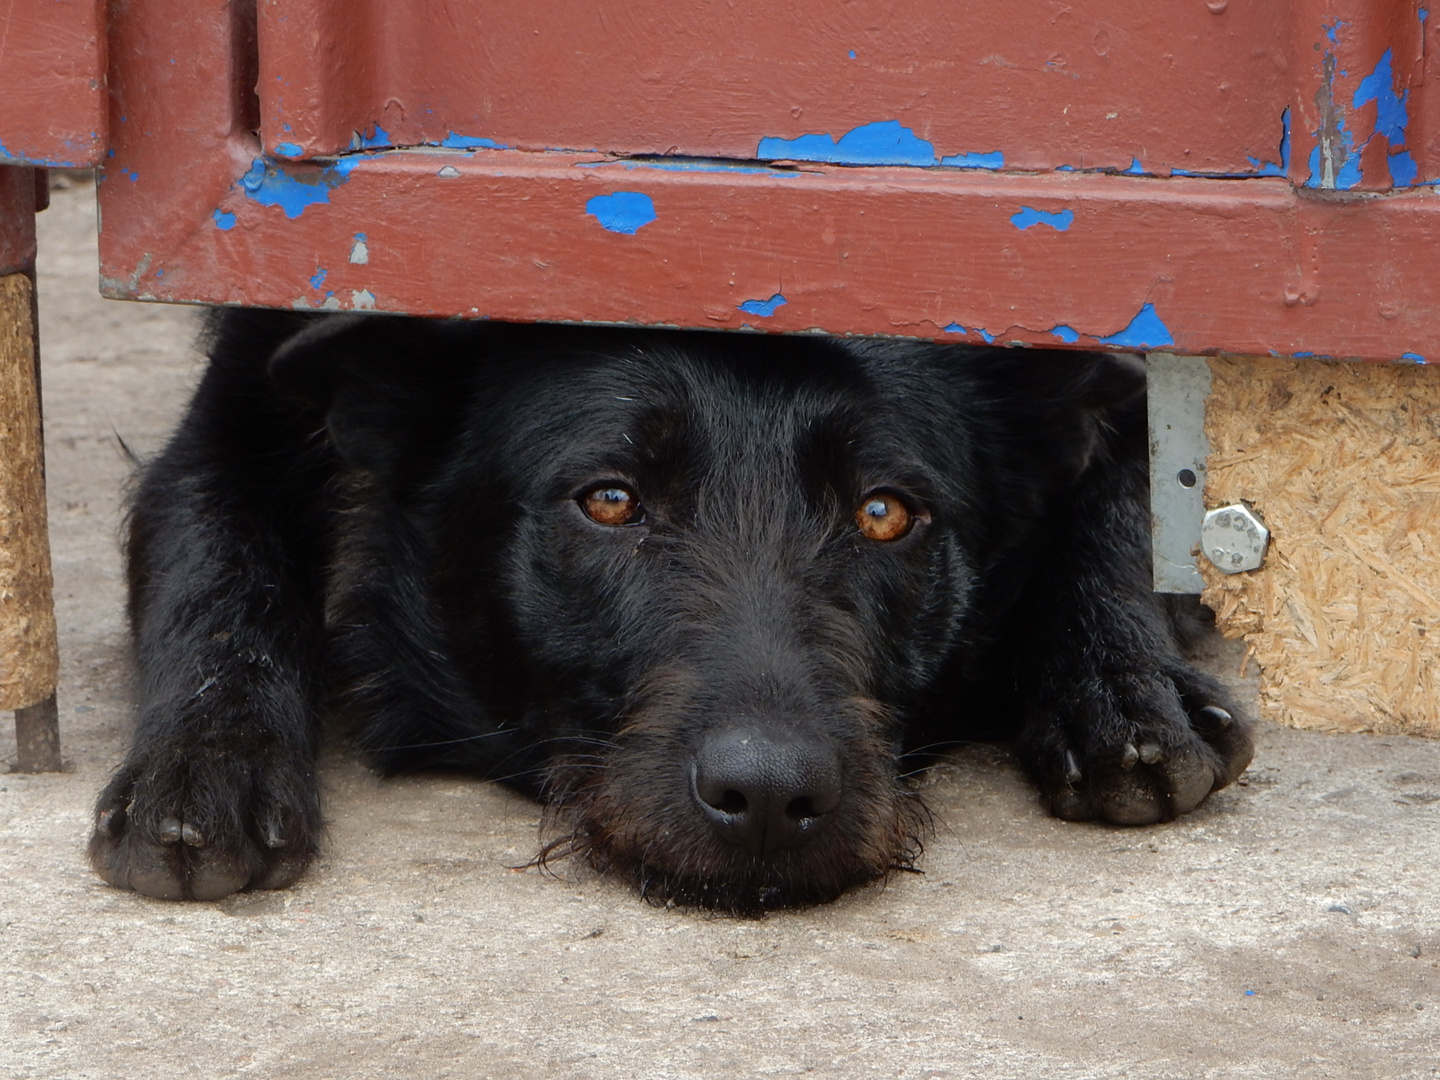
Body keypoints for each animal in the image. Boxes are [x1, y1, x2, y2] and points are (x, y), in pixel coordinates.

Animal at [90, 311, 1255, 915]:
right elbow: (214, 556)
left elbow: (1139, 496)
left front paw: (1125, 684)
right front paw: (209, 764)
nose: (772, 795)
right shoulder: (234, 408)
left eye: (885, 512)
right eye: (609, 500)